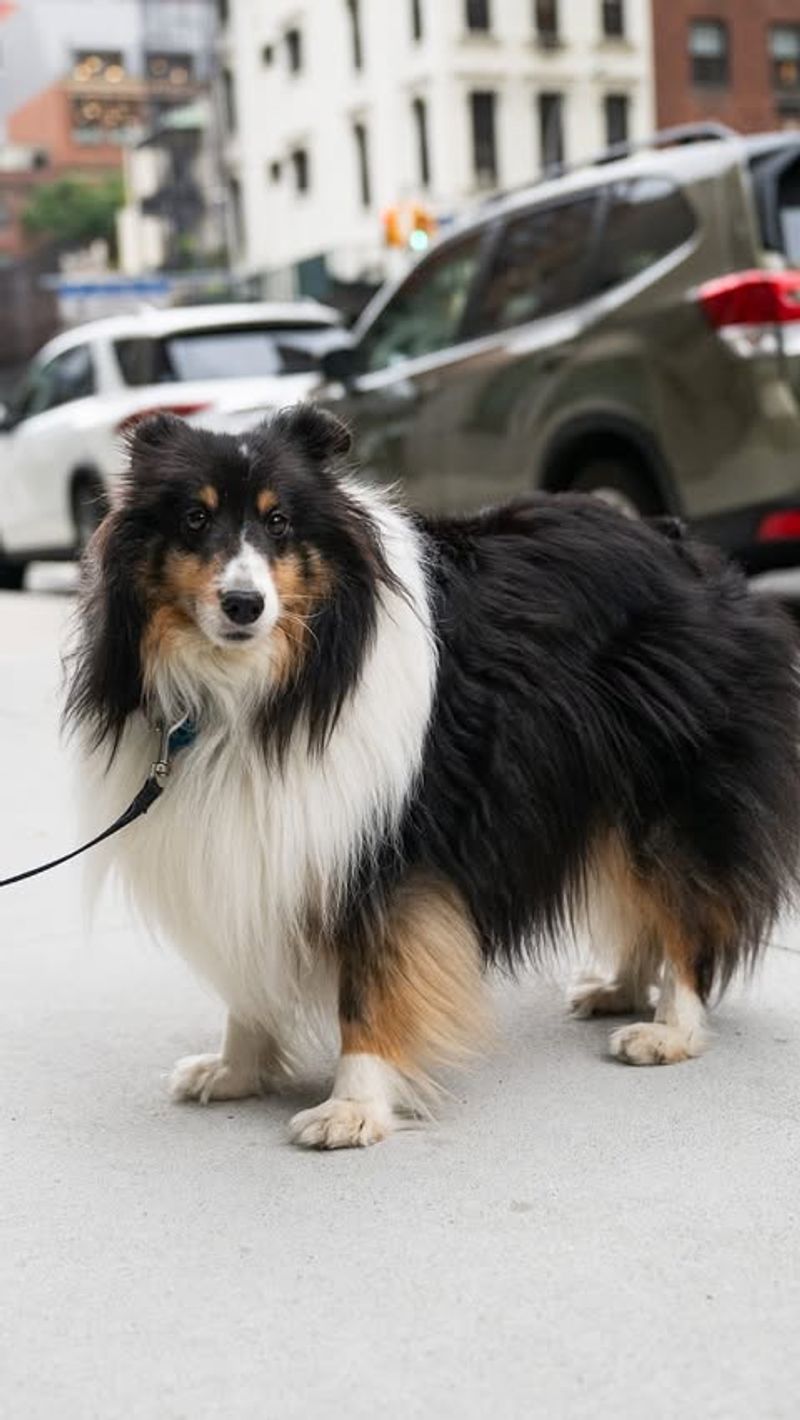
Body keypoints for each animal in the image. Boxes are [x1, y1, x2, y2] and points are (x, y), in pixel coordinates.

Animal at [65, 397, 800, 1141]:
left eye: (279, 522)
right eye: (194, 518)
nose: (246, 605)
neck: (262, 686)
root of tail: (681, 543)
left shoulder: (384, 844)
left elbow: (368, 981)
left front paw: (353, 1105)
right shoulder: (269, 837)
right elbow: (251, 966)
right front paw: (235, 1069)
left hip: (673, 784)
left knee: (683, 898)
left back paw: (670, 1028)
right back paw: (620, 987)